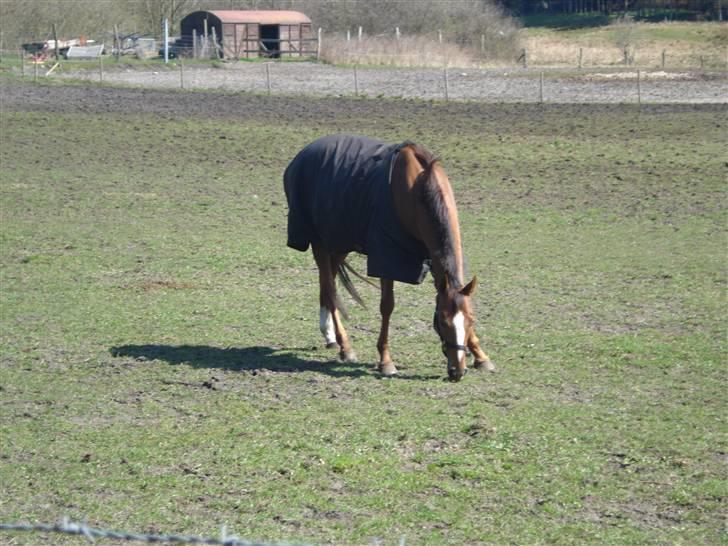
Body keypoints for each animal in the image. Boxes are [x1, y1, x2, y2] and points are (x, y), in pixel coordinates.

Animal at [284, 133, 494, 378]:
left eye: (471, 319)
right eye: (442, 322)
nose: (457, 371)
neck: (417, 188)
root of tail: (304, 153)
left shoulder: (433, 261)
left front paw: (481, 356)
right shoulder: (386, 256)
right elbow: (387, 306)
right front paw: (385, 361)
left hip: (340, 243)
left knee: (329, 284)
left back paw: (329, 336)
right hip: (319, 241)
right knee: (329, 286)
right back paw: (345, 346)